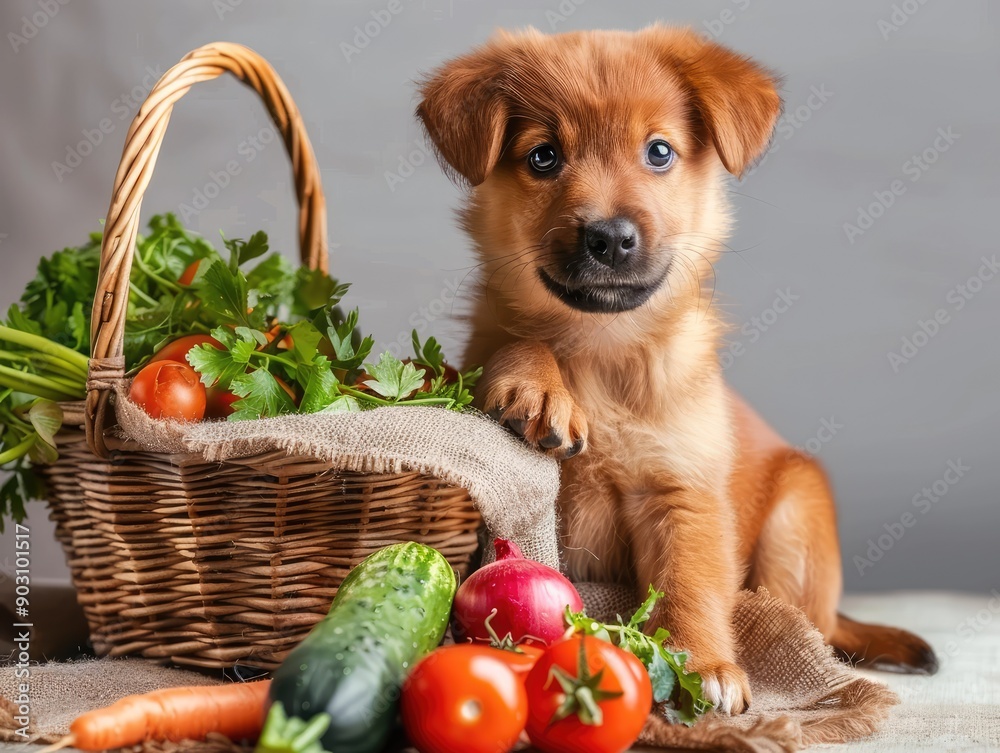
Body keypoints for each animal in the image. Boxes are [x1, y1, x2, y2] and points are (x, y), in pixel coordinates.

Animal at [416, 26, 936, 712]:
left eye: (659, 152)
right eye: (544, 157)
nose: (609, 239)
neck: (603, 354)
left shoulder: (683, 491)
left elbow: (689, 584)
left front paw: (704, 665)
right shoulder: (488, 354)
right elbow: (518, 339)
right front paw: (538, 385)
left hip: (797, 517)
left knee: (810, 623)